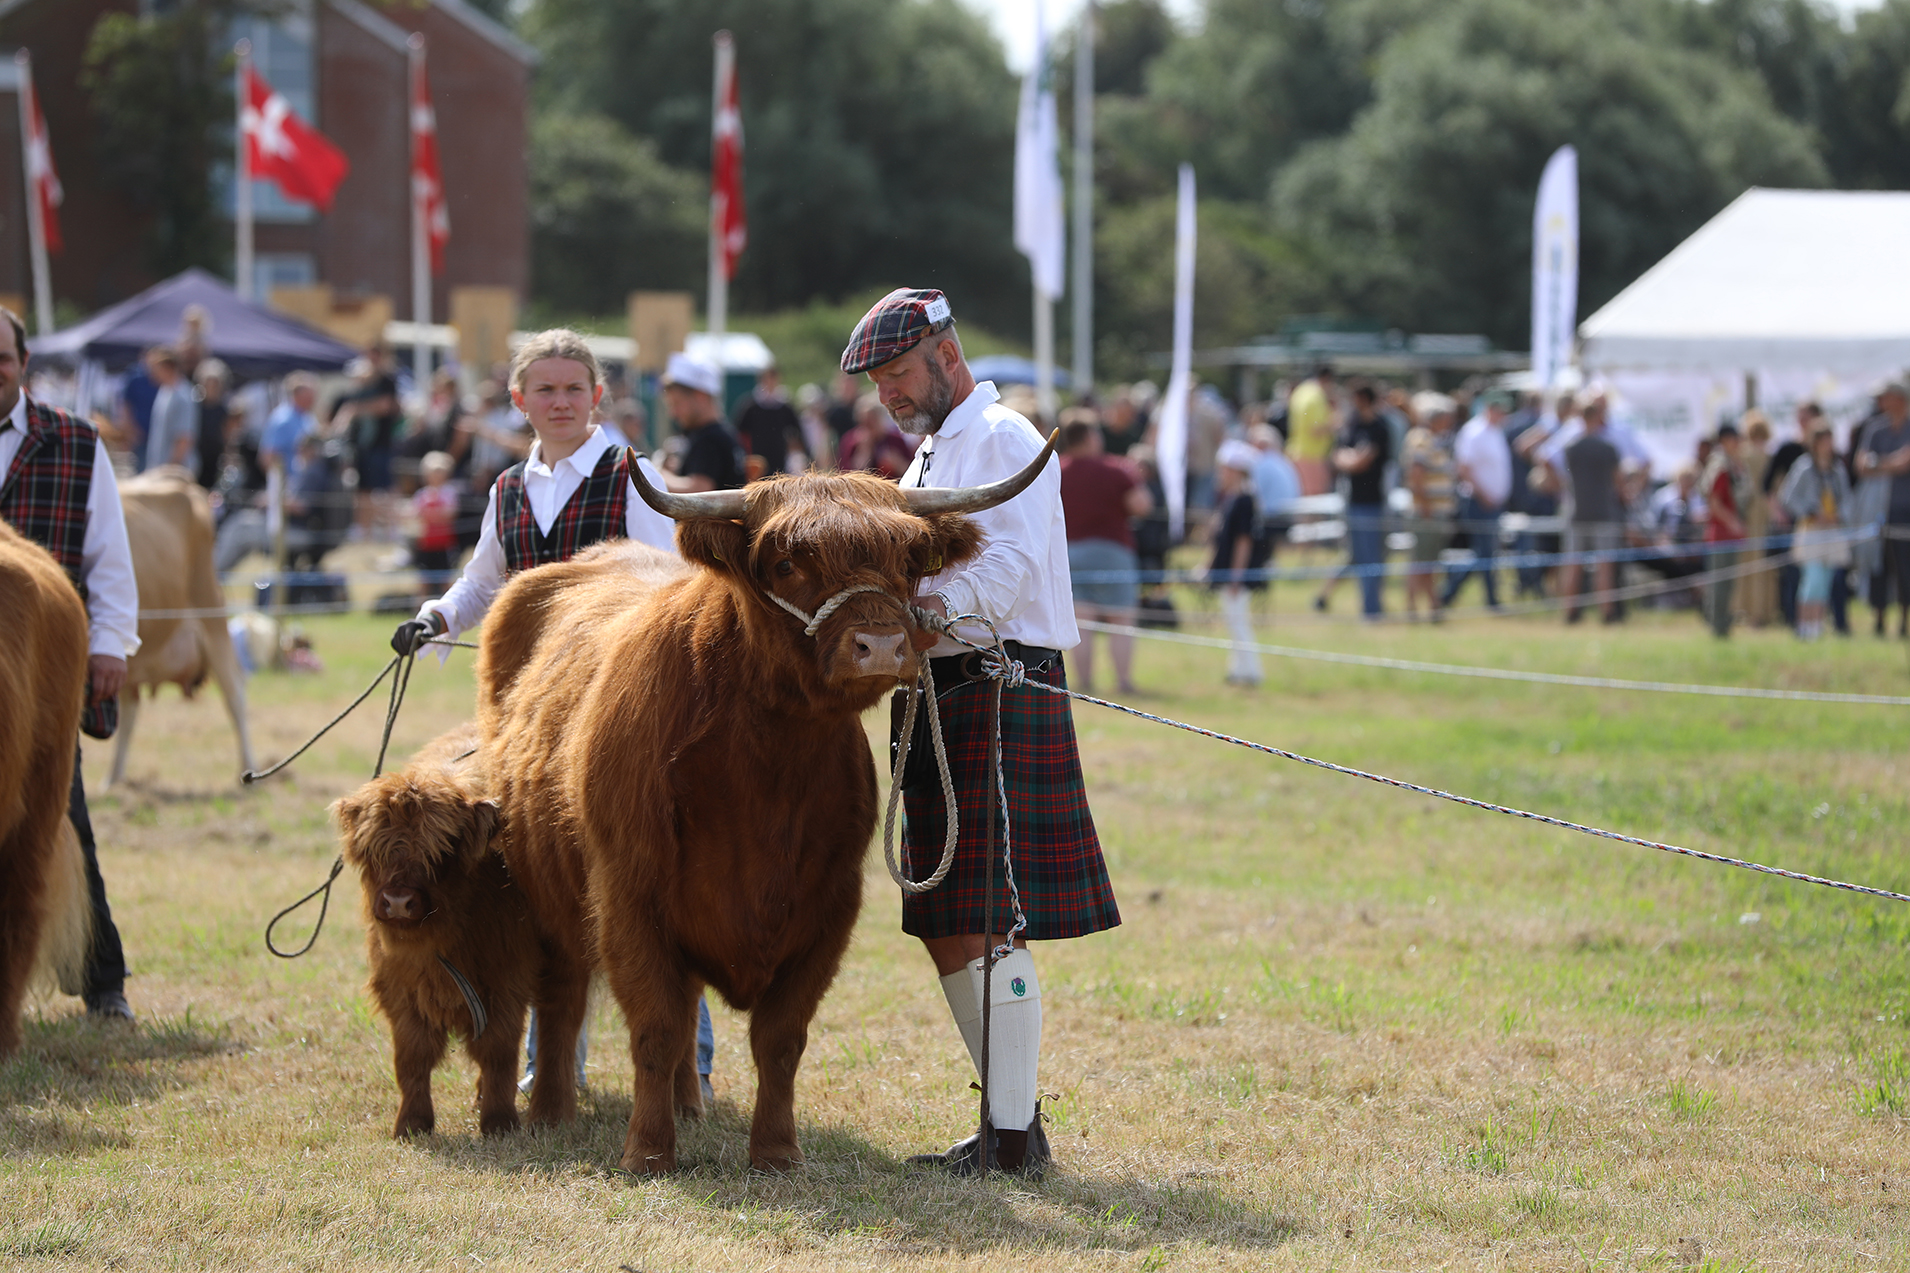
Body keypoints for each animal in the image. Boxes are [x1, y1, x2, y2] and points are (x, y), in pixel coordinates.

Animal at [333, 726, 535, 1138]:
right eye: (375, 850)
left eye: (441, 850)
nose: (397, 902)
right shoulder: (399, 987)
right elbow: (412, 1057)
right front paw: (412, 1123)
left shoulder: (507, 980)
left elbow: (499, 1052)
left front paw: (499, 1121)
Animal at [476, 440, 1055, 1174]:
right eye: (786, 563)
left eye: (907, 562)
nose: (882, 645)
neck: (764, 769)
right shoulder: (629, 893)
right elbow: (655, 1026)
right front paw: (648, 1152)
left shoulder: (827, 906)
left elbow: (779, 1039)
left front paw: (776, 1150)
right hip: (545, 887)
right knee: (563, 995)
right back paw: (552, 1111)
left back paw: (689, 1105)